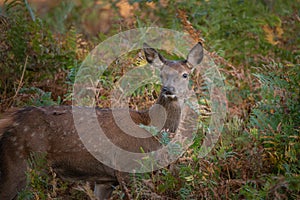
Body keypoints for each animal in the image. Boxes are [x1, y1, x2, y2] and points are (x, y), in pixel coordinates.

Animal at [0, 41, 204, 198]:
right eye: (161, 74)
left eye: (185, 75)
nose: (168, 90)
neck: (150, 129)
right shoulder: (127, 169)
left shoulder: (105, 179)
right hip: (18, 162)